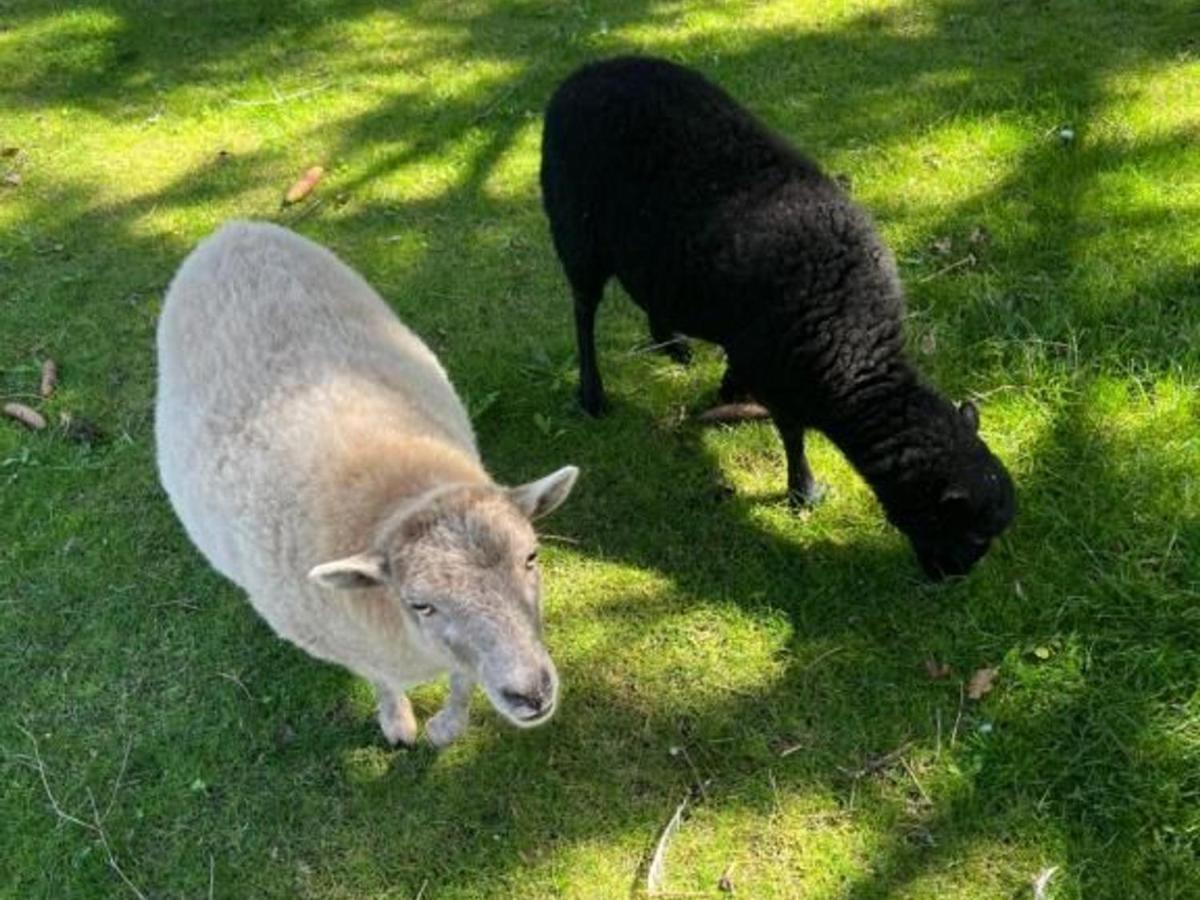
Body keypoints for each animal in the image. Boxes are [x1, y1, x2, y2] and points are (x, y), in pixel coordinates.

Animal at [156, 222, 580, 748]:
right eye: (420, 605)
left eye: (531, 557)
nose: (531, 693)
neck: (399, 492)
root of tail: (231, 230)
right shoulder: (350, 645)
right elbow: (382, 678)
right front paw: (397, 722)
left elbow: (462, 680)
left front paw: (448, 725)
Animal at [540, 58, 1017, 578]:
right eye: (971, 536)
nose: (949, 579)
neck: (852, 340)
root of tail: (583, 73)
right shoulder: (776, 367)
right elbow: (791, 432)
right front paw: (803, 492)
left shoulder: (759, 346)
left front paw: (729, 395)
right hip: (577, 232)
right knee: (583, 311)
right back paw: (592, 394)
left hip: (649, 252)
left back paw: (673, 345)